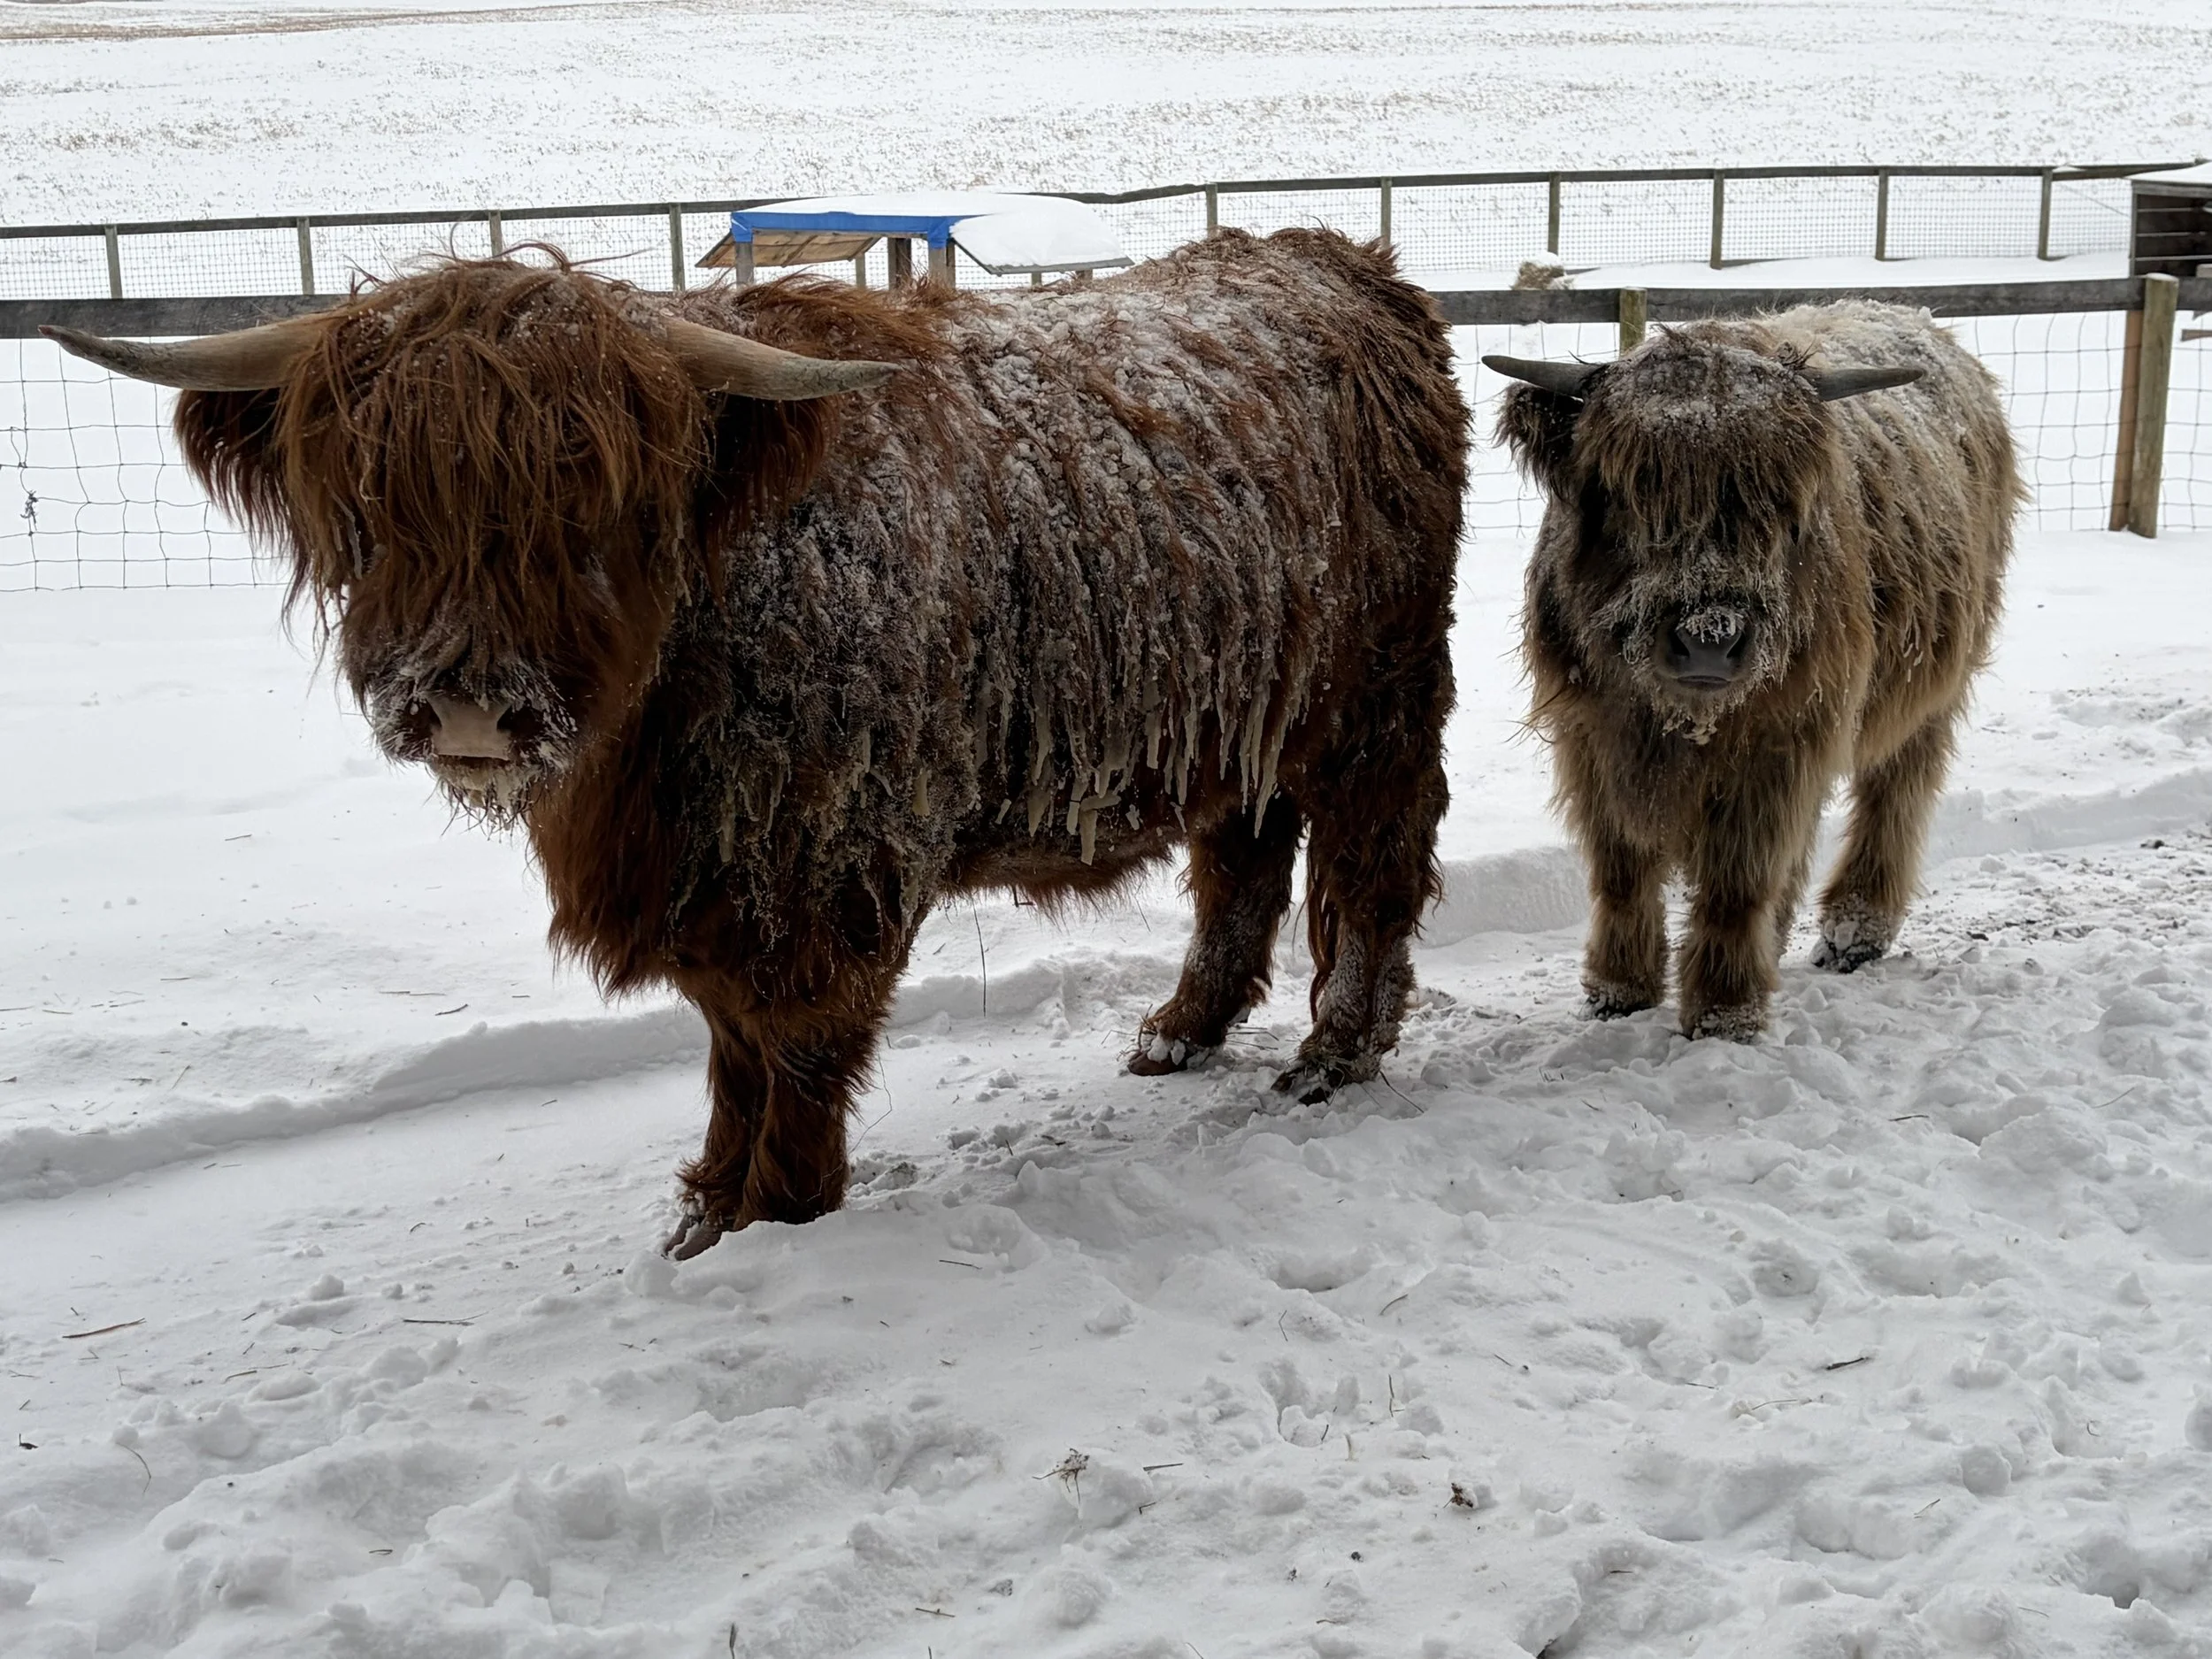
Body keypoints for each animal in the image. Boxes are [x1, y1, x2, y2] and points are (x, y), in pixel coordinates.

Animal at [46, 228, 1469, 1255]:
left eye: (592, 500)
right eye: (372, 497)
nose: (466, 704)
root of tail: (1345, 263)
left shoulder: (828, 872)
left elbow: (795, 1051)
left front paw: (777, 1215)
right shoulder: (716, 885)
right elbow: (728, 1044)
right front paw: (703, 1210)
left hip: (1378, 699)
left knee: (1372, 861)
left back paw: (1333, 1052)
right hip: (1247, 706)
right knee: (1244, 858)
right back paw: (1181, 1029)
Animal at [1488, 302, 2019, 1040]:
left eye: (1778, 500)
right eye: (1629, 490)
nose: (1710, 640)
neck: (1682, 720)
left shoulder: (1779, 737)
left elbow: (1738, 879)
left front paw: (1724, 1009)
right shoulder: (1593, 735)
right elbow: (1621, 868)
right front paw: (1619, 988)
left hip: (1931, 686)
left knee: (1897, 790)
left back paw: (1856, 931)